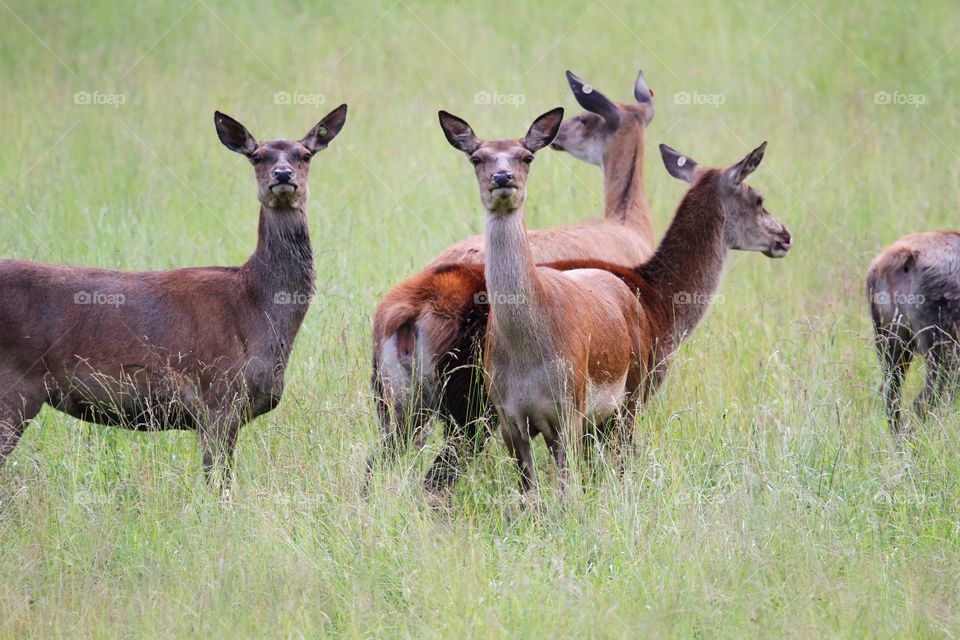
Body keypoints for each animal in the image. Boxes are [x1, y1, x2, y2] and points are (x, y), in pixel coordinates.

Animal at [0, 104, 350, 490]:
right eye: (257, 156)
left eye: (305, 155)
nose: (283, 174)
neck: (256, 307)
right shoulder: (217, 397)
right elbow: (218, 485)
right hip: (15, 386)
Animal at [372, 132, 792, 498]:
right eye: (759, 198)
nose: (784, 236)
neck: (663, 305)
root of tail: (404, 314)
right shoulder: (636, 394)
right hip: (469, 407)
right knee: (434, 480)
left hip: (394, 403)